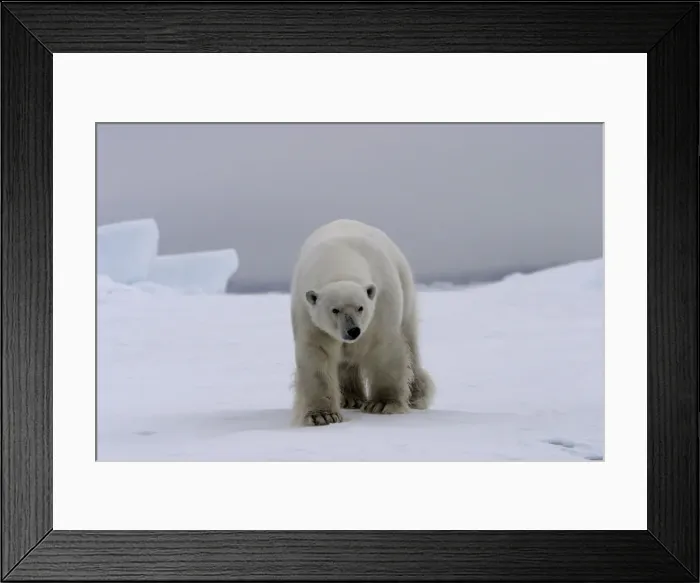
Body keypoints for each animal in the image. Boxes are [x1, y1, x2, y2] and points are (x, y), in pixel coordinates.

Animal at [289, 218, 435, 426]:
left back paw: (417, 396)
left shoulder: (381, 302)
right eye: (335, 310)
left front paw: (382, 404)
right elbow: (317, 355)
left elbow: (383, 347)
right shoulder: (308, 314)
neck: (339, 259)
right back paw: (350, 398)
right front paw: (322, 415)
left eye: (361, 307)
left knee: (410, 342)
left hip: (405, 289)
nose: (353, 331)